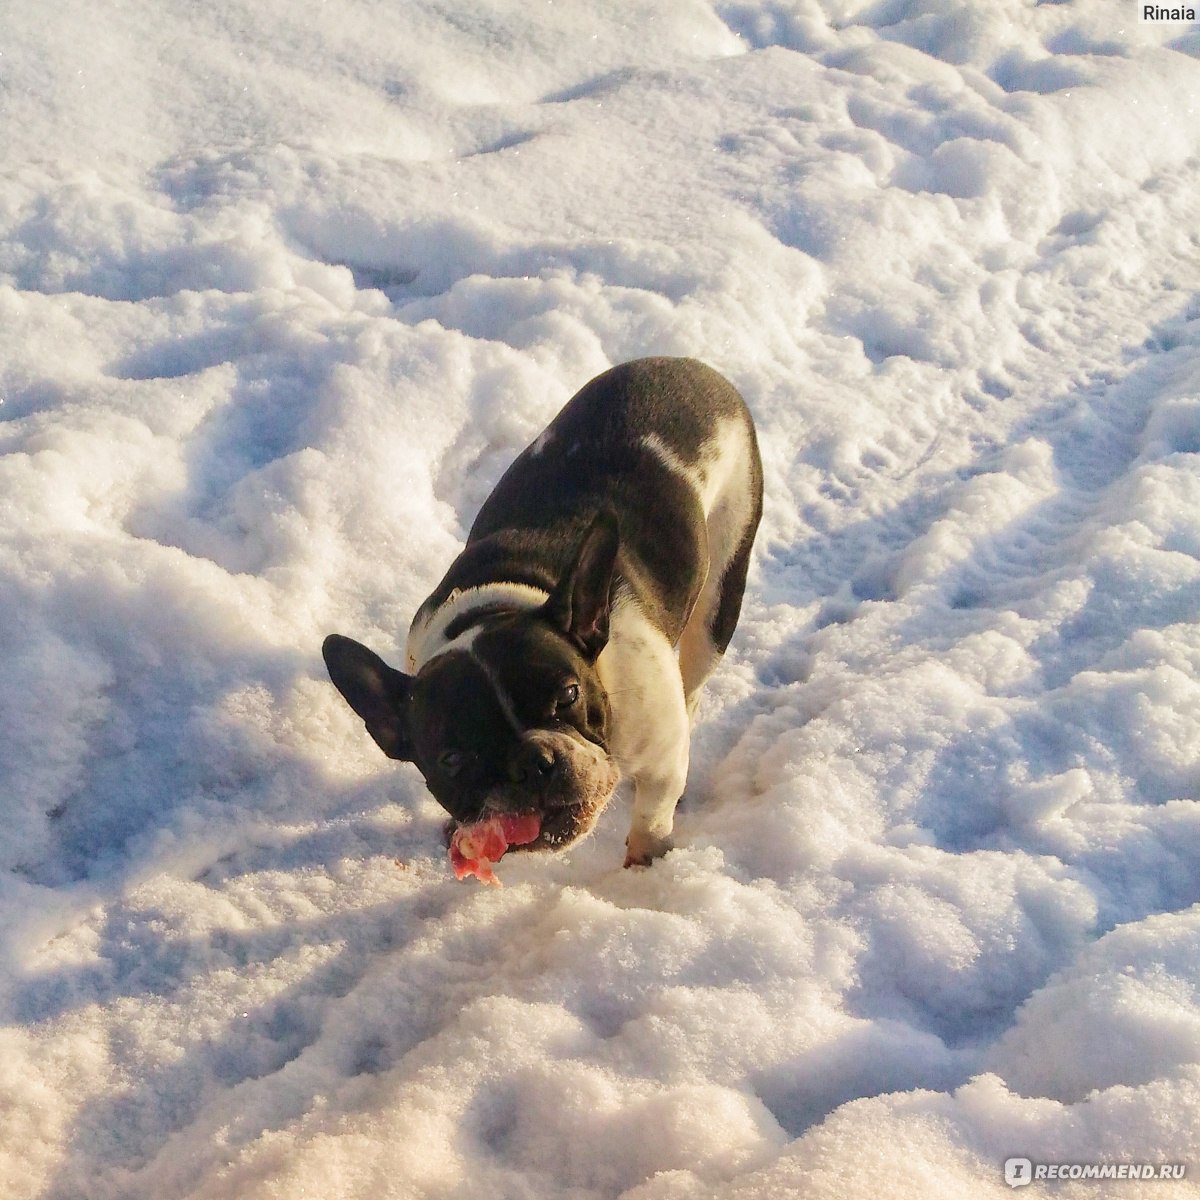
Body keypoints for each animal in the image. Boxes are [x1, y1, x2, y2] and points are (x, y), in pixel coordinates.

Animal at [324, 352, 763, 864]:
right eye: (452, 759)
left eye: (569, 695)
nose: (534, 761)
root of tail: (688, 365)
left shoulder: (657, 759)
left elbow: (652, 816)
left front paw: (644, 866)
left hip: (722, 587)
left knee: (694, 677)